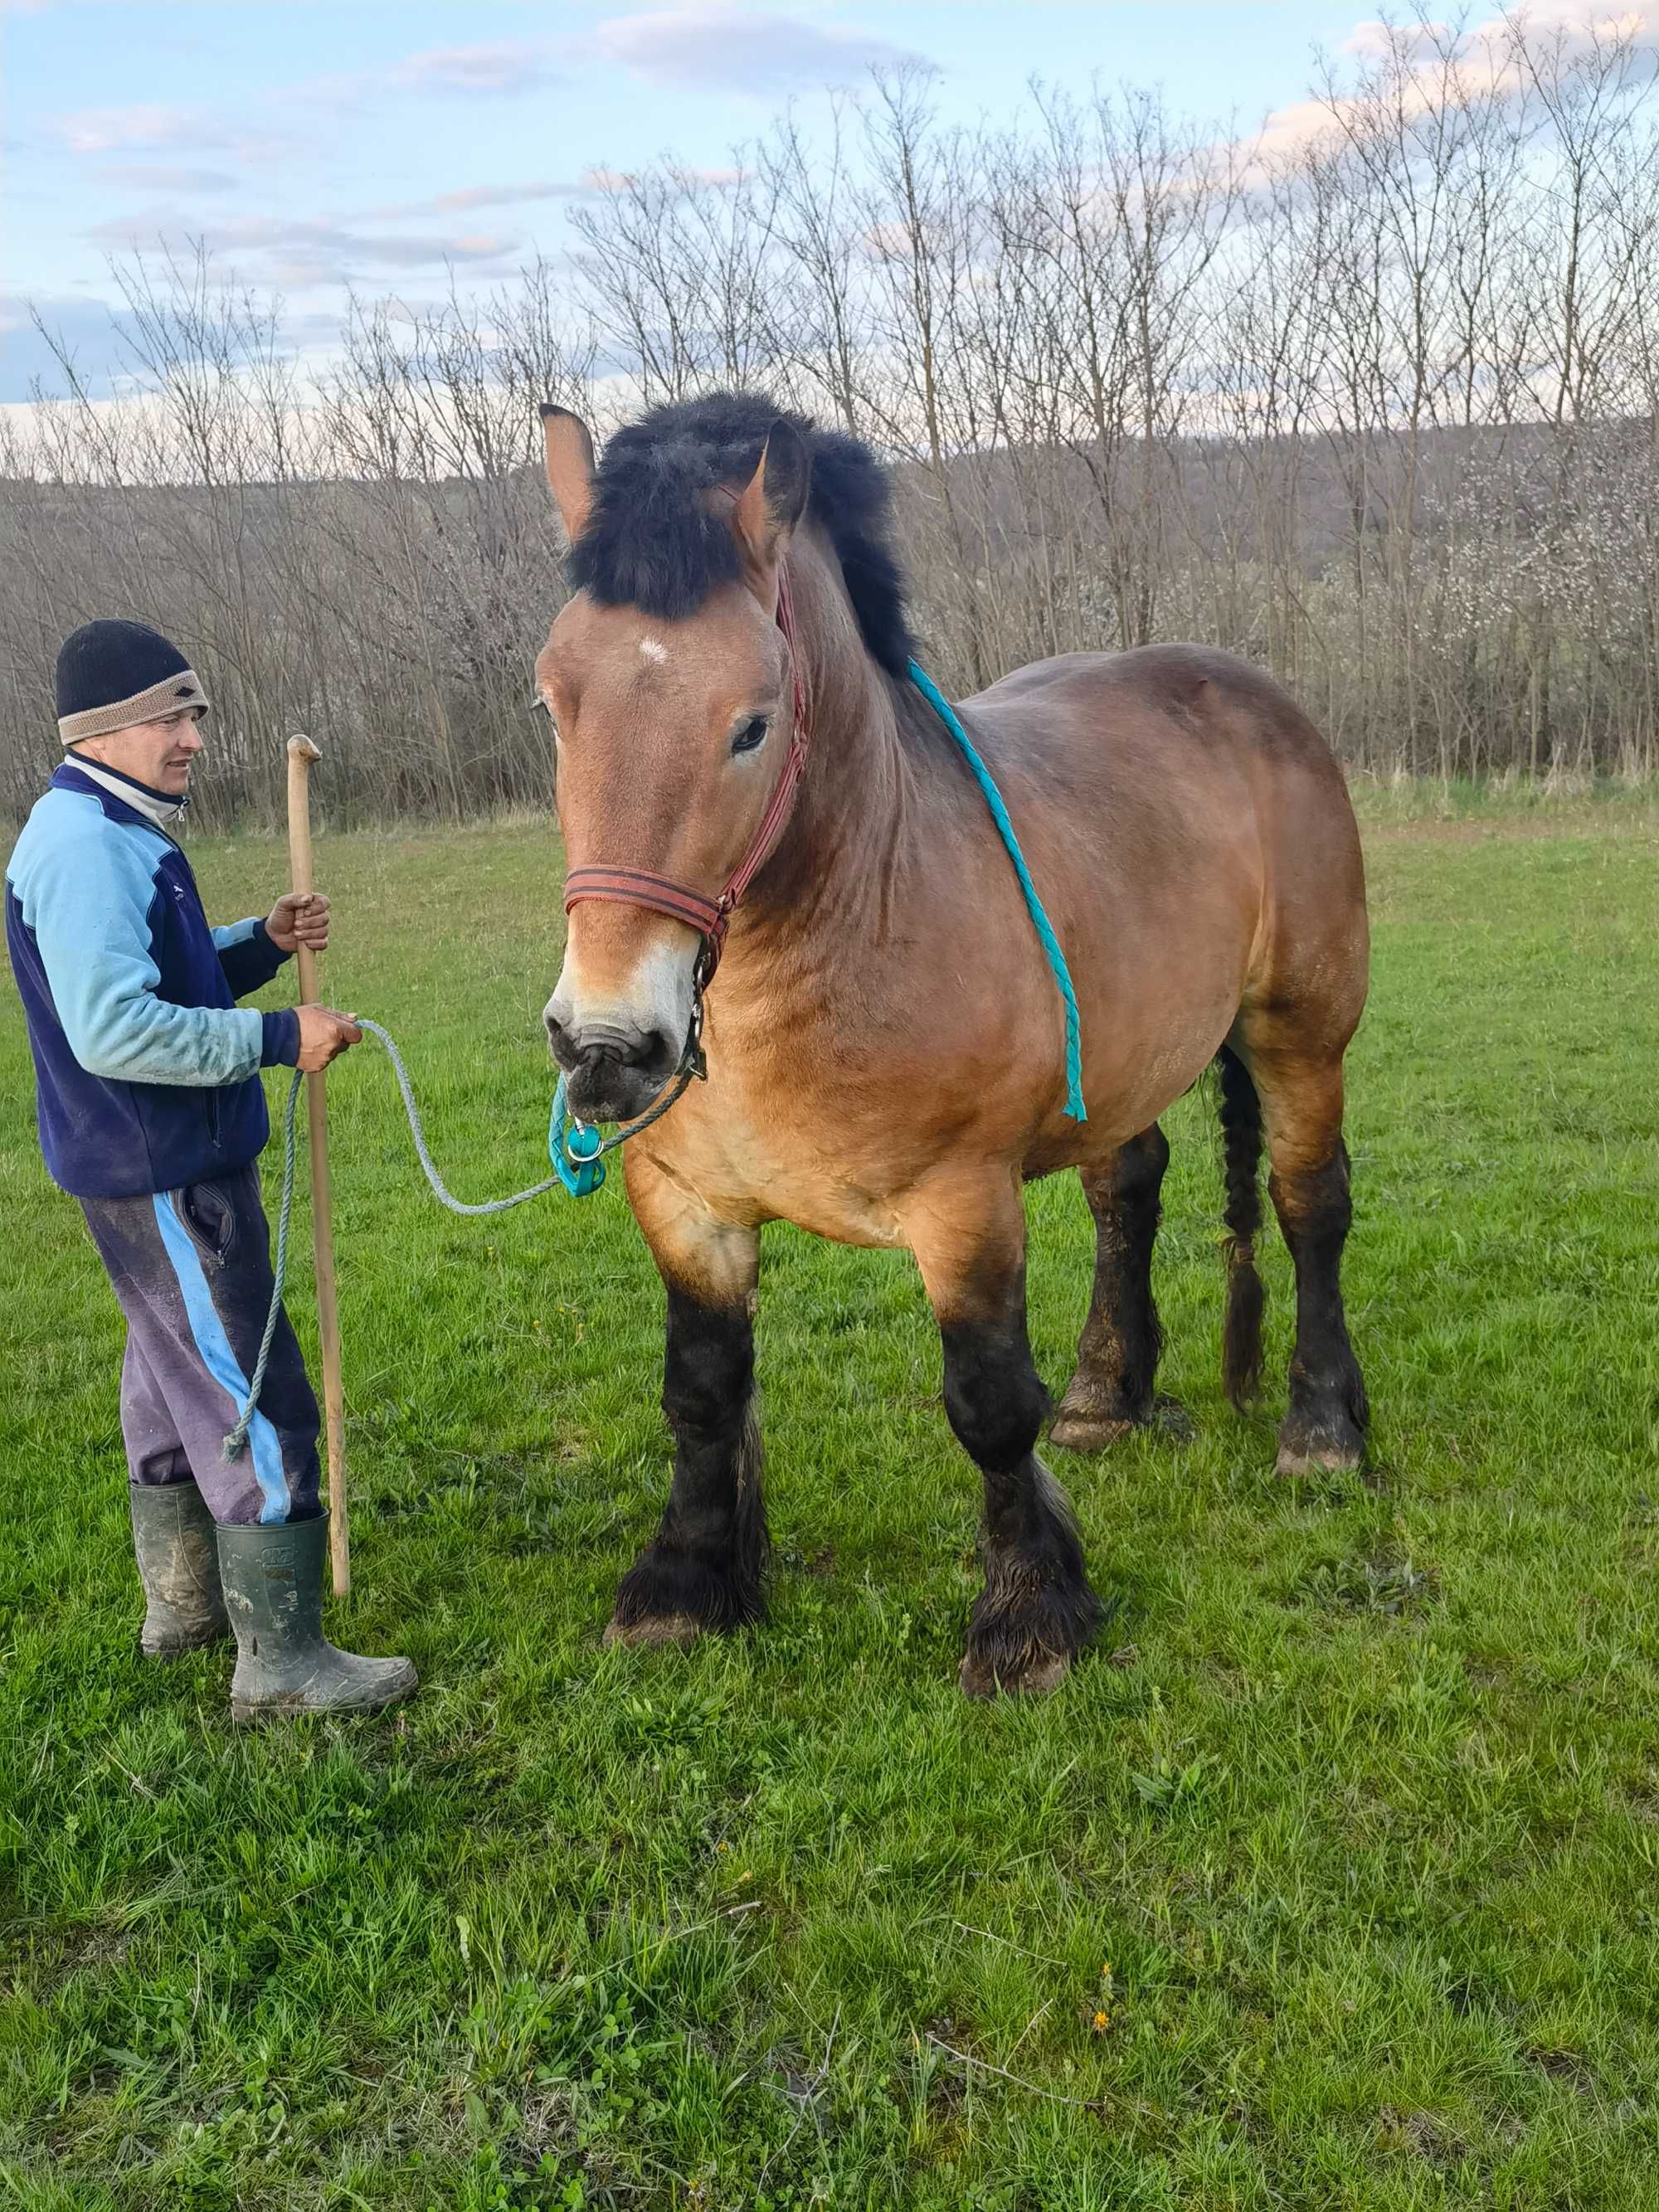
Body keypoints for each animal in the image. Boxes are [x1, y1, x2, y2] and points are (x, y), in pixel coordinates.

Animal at [535, 389, 1380, 1689]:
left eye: (751, 725)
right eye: (552, 701)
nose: (606, 1045)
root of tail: (1250, 693)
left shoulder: (964, 1204)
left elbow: (987, 1405)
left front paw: (1030, 1614)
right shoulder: (682, 1205)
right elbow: (701, 1393)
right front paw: (684, 1583)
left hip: (1301, 1036)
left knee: (1308, 1206)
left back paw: (1323, 1424)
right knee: (1128, 1191)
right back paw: (1106, 1392)